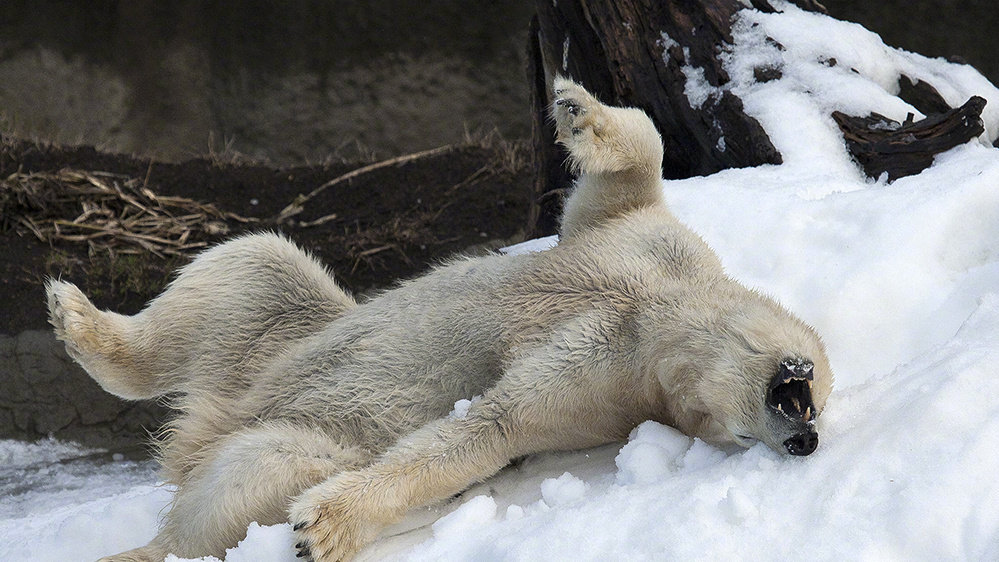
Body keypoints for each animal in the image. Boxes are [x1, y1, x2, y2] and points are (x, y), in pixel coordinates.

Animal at [43, 80, 832, 560]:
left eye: (739, 439)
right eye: (810, 397)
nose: (808, 442)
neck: (663, 315)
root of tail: (212, 422)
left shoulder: (613, 388)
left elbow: (492, 426)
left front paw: (322, 526)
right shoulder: (650, 252)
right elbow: (631, 175)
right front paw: (576, 107)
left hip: (305, 437)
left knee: (250, 473)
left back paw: (146, 544)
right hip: (282, 335)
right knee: (253, 265)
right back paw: (77, 317)